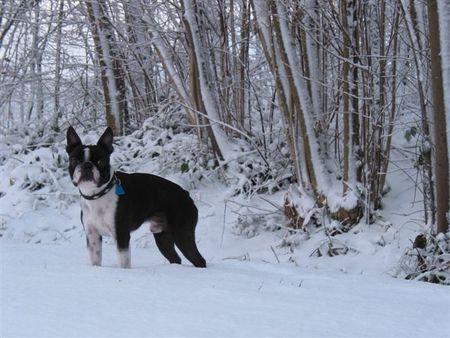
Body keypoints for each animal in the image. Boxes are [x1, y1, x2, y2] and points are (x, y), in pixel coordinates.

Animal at [66, 125, 207, 268]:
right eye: (75, 160)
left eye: (100, 161)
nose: (87, 165)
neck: (97, 195)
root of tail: (186, 194)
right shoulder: (92, 236)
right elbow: (95, 261)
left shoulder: (121, 235)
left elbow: (123, 262)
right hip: (162, 236)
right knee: (175, 258)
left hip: (182, 233)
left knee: (199, 259)